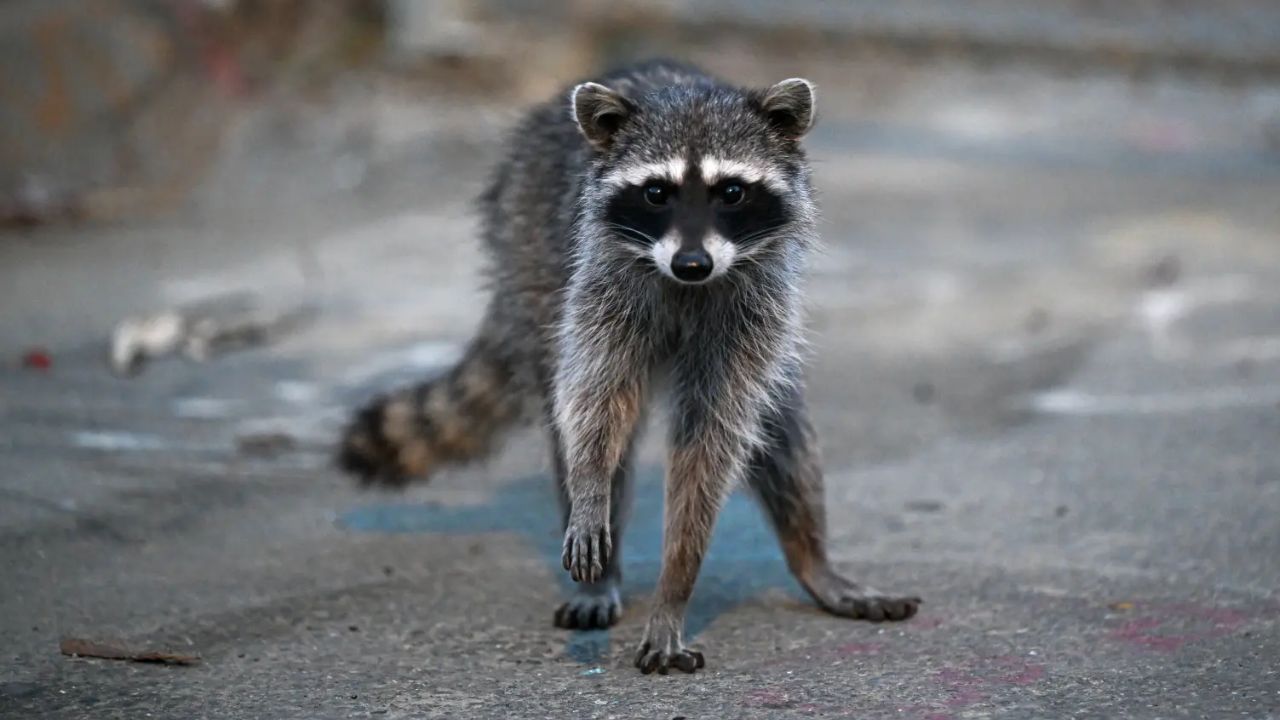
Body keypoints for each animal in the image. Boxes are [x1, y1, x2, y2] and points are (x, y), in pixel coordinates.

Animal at [339, 59, 920, 674]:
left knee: (783, 429)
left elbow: (710, 443)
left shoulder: (756, 310)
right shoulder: (600, 282)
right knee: (569, 413)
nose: (692, 263)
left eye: (732, 192)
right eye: (656, 192)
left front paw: (675, 587)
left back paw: (812, 560)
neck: (689, 285)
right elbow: (595, 401)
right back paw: (600, 564)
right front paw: (593, 490)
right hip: (531, 250)